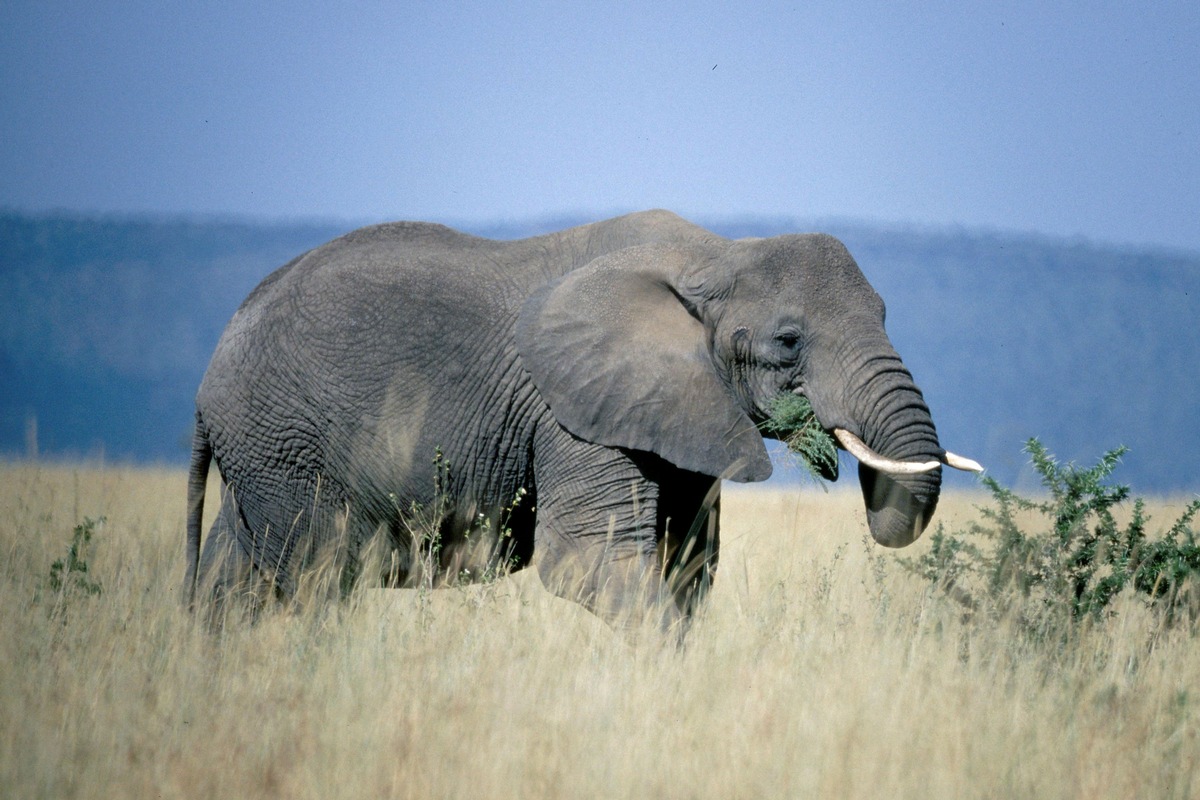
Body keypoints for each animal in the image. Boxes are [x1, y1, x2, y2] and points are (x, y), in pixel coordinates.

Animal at [184, 211, 974, 633]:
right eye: (788, 341)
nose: (836, 455)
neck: (713, 253)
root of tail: (211, 367)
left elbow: (687, 568)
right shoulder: (573, 411)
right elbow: (593, 561)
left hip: (264, 452)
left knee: (235, 572)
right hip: (284, 444)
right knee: (316, 577)